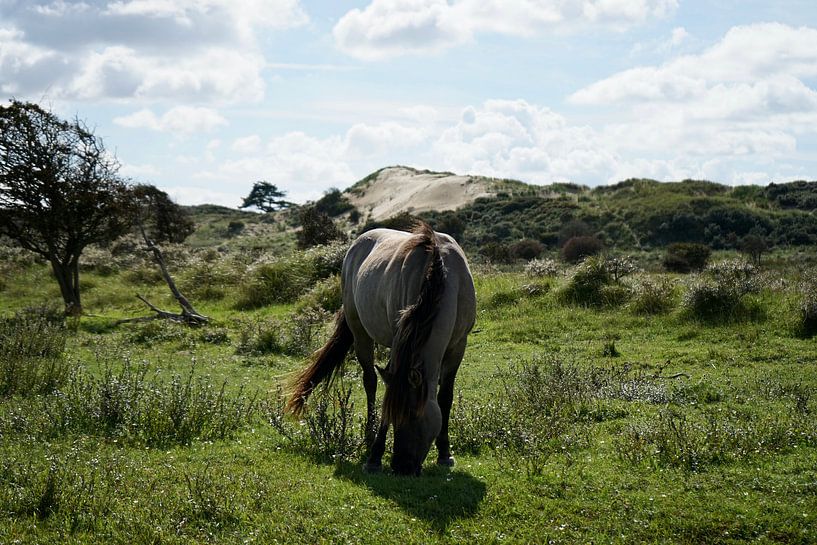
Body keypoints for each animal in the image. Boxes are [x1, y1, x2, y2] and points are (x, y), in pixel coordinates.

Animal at [286, 223, 478, 474]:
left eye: (413, 415)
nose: (401, 467)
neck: (439, 274)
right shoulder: (399, 342)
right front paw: (375, 456)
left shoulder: (458, 346)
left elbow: (445, 397)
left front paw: (445, 453)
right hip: (360, 334)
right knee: (370, 382)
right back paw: (369, 438)